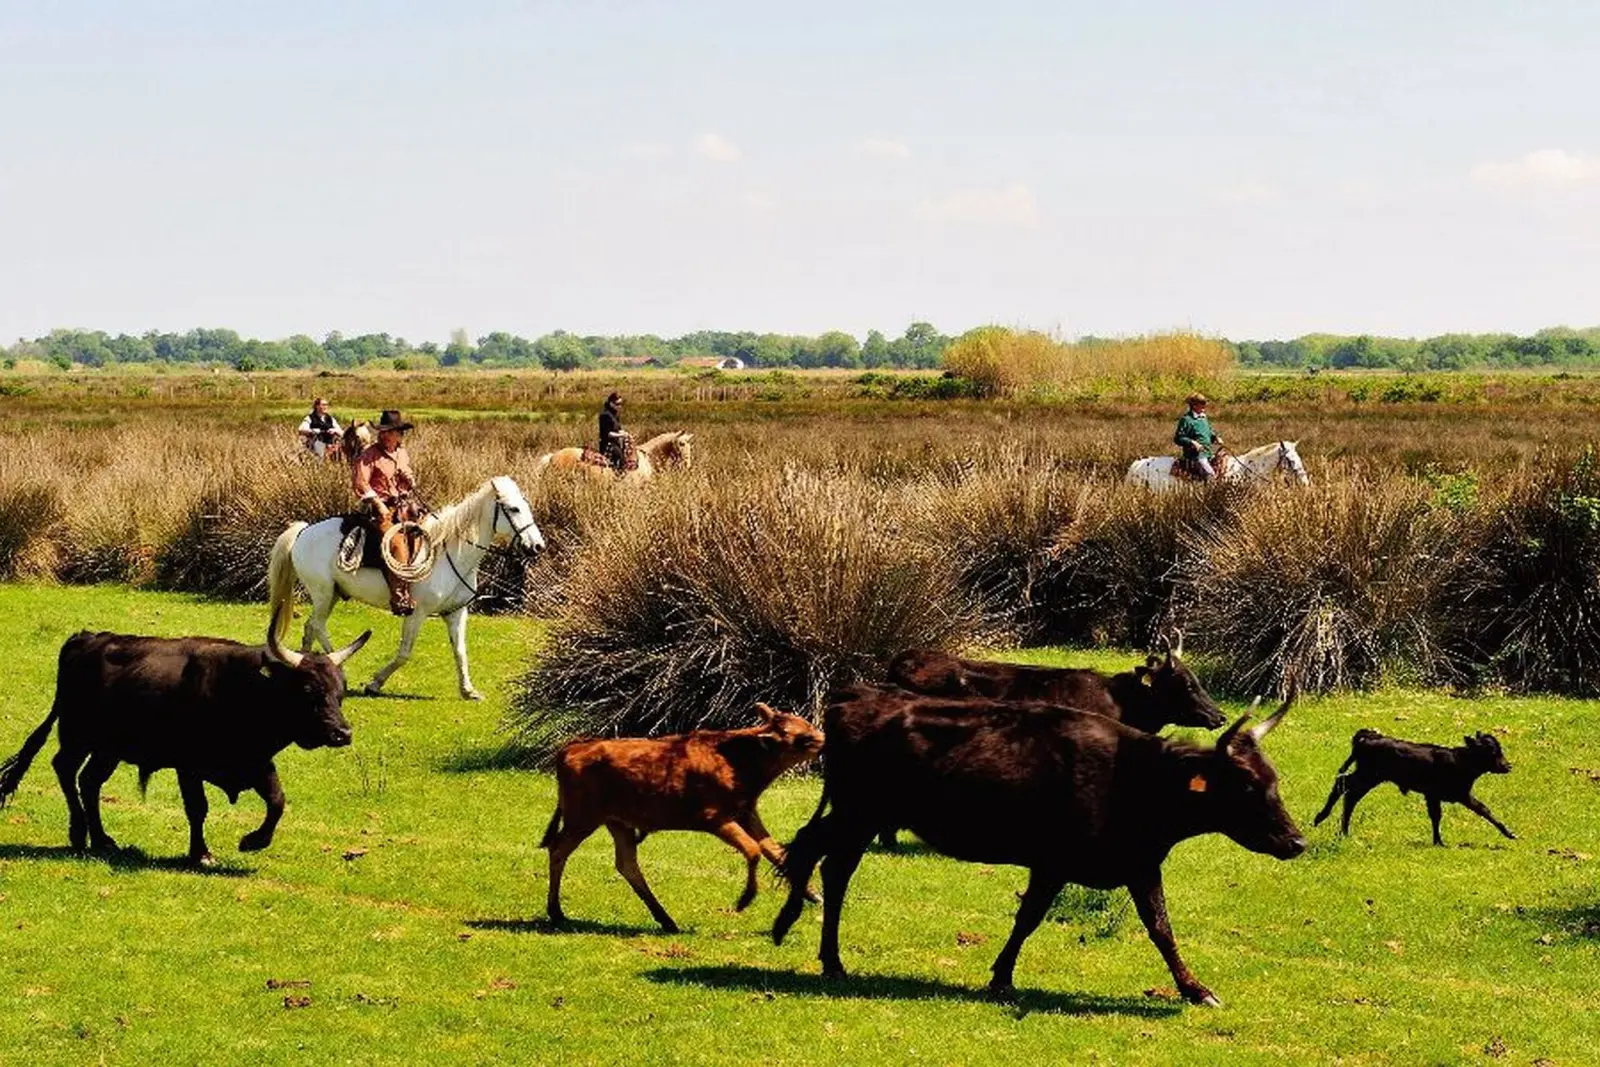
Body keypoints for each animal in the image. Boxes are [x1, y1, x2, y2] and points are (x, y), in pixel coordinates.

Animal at [266, 476, 545, 700]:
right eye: (513, 509)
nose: (538, 546)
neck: (448, 553)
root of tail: (303, 531)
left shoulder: (456, 612)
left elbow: (460, 652)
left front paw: (468, 690)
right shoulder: (416, 613)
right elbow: (404, 653)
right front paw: (375, 683)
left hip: (332, 594)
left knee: (311, 627)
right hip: (322, 593)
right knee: (317, 626)